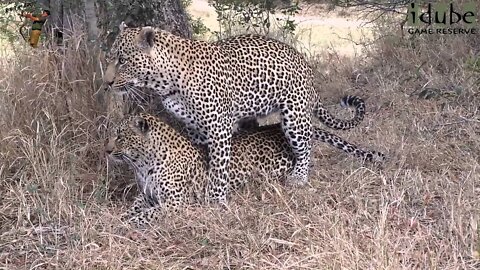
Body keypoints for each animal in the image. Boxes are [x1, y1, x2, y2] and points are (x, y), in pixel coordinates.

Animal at [104, 22, 376, 204]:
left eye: (122, 60)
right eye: (110, 58)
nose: (106, 83)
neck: (166, 82)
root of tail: (305, 65)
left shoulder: (218, 126)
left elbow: (219, 166)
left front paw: (215, 200)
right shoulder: (194, 127)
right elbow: (206, 160)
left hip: (294, 116)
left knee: (305, 146)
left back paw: (299, 177)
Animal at [106, 103, 386, 226]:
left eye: (120, 136)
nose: (106, 150)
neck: (143, 164)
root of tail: (275, 127)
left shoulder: (175, 203)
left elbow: (144, 216)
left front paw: (119, 224)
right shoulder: (145, 196)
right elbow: (133, 210)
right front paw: (119, 218)